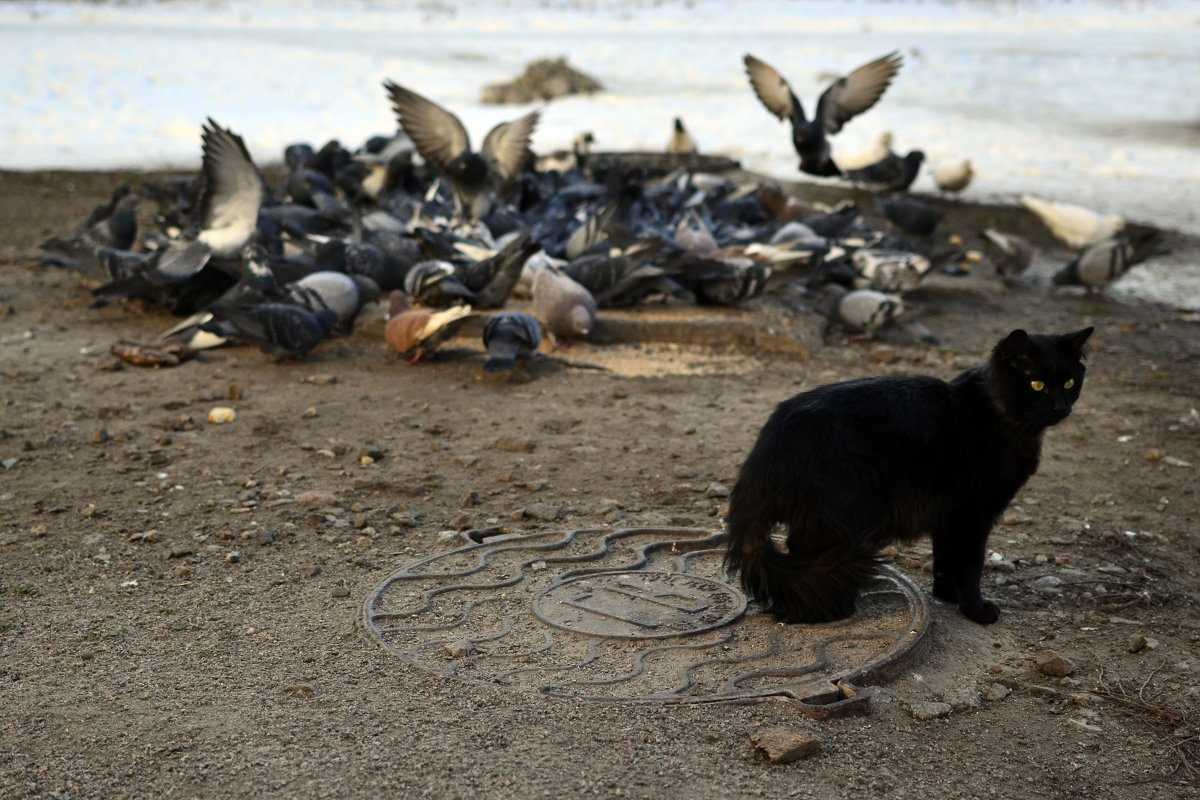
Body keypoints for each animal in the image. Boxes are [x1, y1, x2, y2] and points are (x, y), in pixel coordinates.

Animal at [724, 326, 1094, 623]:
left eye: (1070, 382)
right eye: (1037, 385)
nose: (1061, 408)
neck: (998, 414)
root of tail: (768, 448)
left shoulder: (947, 514)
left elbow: (945, 559)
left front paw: (947, 596)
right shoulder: (973, 514)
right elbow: (971, 566)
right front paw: (977, 611)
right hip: (841, 509)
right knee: (804, 553)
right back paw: (827, 608)